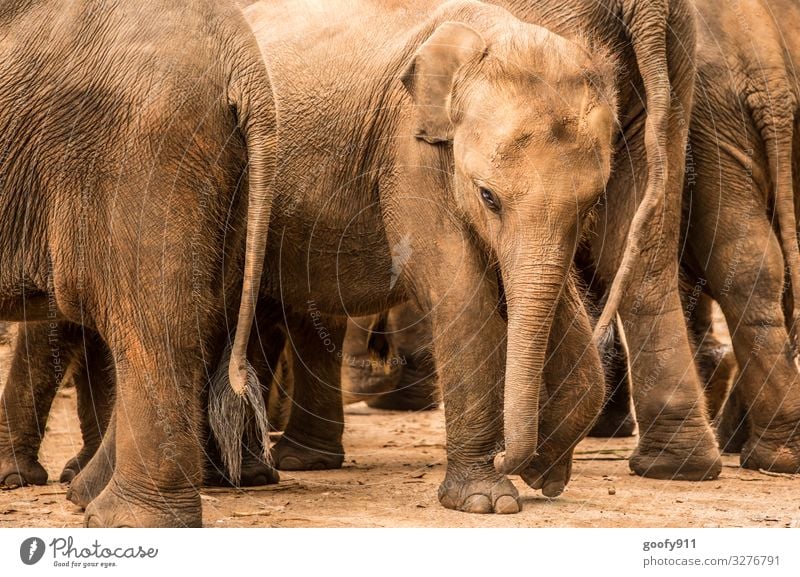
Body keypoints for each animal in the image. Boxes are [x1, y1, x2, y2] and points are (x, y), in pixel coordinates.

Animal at [0, 0, 278, 528]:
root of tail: (242, 54)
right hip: (225, 181)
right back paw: (88, 496)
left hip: (140, 155)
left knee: (151, 323)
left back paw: (125, 518)